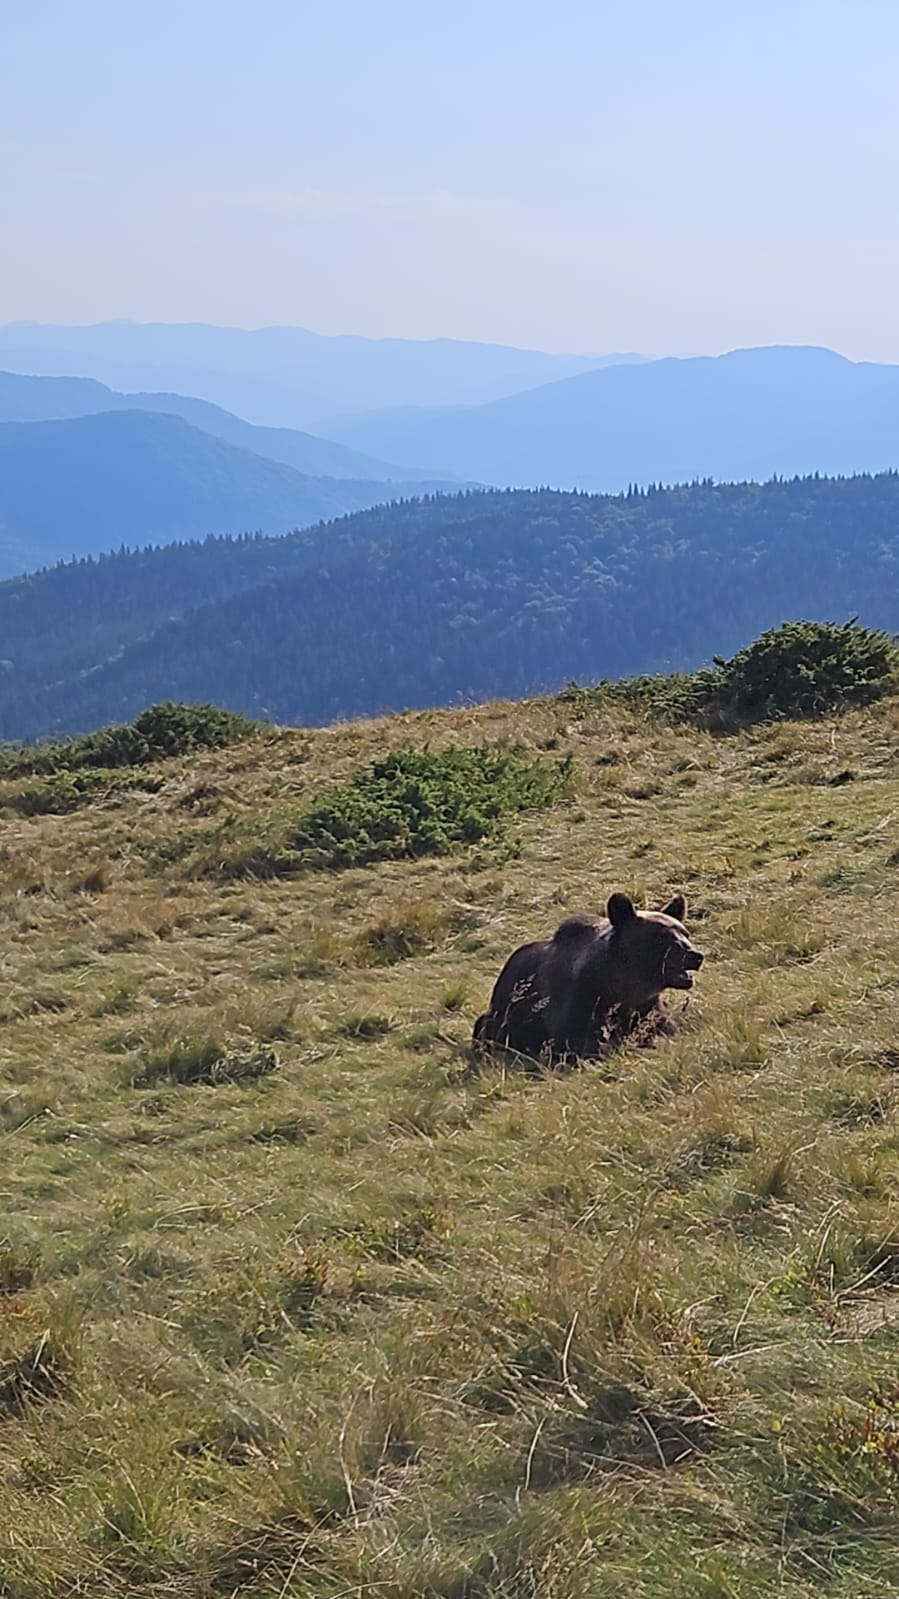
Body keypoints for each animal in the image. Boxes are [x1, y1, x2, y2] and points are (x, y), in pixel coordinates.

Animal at [473, 895, 703, 1068]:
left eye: (685, 932)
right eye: (662, 936)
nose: (695, 955)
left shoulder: (647, 1008)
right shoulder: (577, 1009)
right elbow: (583, 1044)